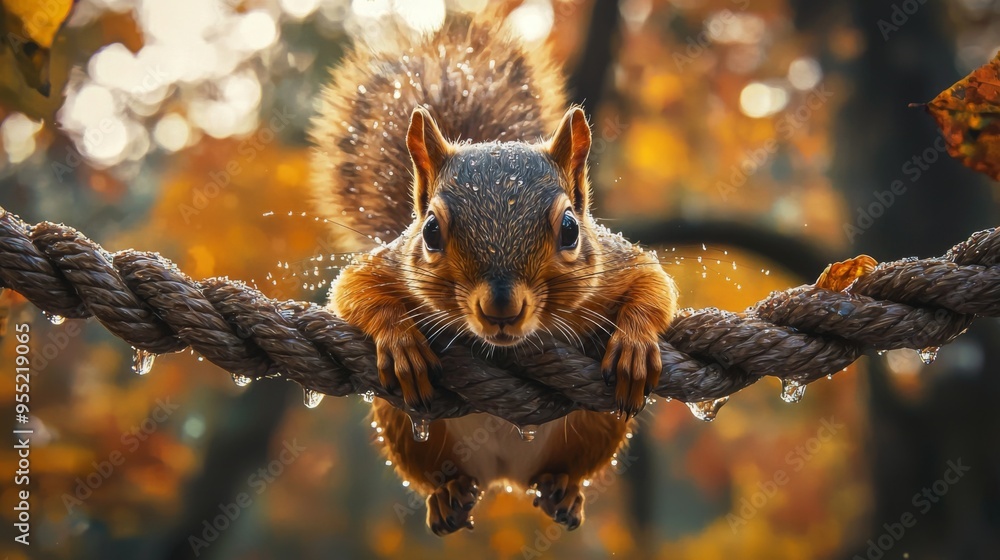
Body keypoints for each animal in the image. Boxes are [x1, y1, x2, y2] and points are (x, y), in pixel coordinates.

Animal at [309, 15, 678, 535]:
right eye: (430, 231)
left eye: (570, 229)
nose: (501, 305)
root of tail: (505, 475)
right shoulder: (388, 265)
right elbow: (353, 290)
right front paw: (401, 341)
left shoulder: (616, 262)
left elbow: (654, 286)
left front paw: (634, 344)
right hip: (407, 430)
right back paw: (448, 495)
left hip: (596, 427)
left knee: (563, 470)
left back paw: (564, 489)